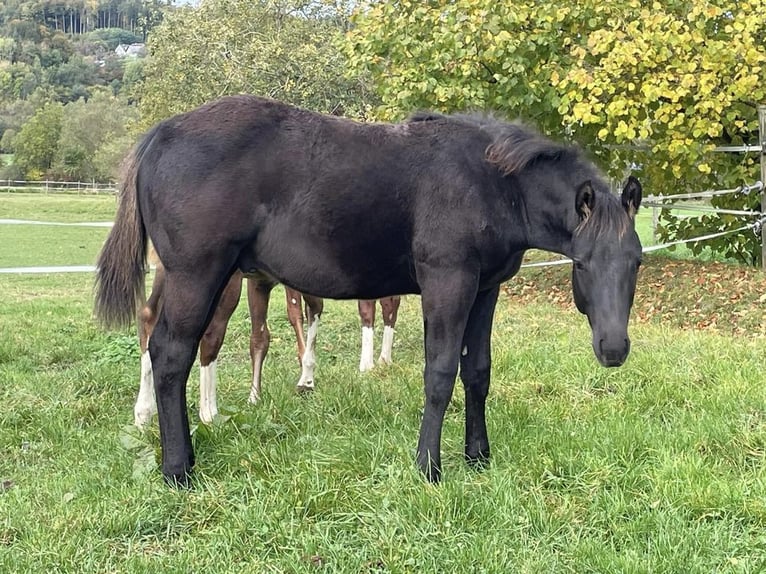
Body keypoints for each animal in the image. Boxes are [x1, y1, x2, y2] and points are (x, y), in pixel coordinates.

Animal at [97, 97, 648, 488]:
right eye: (583, 263)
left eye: (636, 261)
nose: (614, 349)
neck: (491, 182)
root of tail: (159, 136)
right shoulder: (448, 282)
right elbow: (440, 374)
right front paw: (429, 468)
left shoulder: (485, 289)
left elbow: (477, 371)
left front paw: (478, 456)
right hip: (198, 276)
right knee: (171, 354)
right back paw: (178, 471)